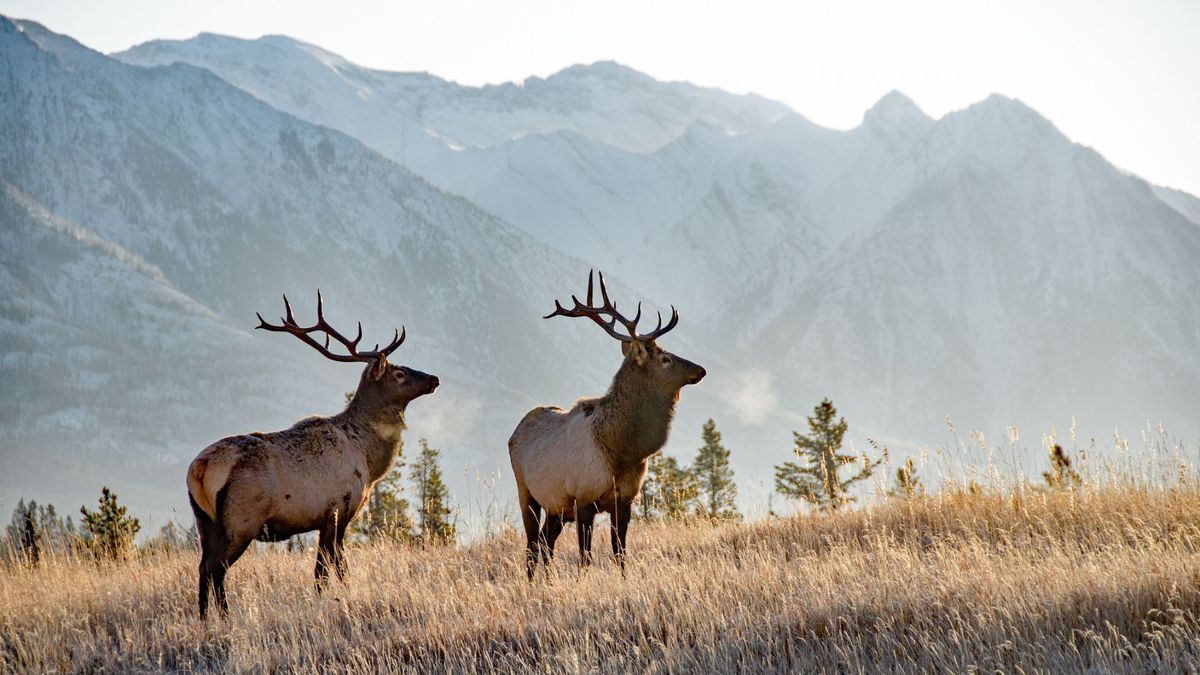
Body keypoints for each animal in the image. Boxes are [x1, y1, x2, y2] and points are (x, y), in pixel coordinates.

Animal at [190, 291, 441, 619]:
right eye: (400, 373)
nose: (434, 379)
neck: (370, 461)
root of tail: (199, 469)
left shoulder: (327, 518)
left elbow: (325, 568)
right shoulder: (338, 510)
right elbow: (334, 568)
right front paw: (338, 598)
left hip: (204, 522)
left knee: (202, 567)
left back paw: (205, 618)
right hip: (241, 521)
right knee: (216, 568)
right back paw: (225, 617)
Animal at [504, 269, 700, 578]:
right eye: (665, 359)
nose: (701, 369)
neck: (622, 452)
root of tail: (515, 431)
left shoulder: (625, 501)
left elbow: (620, 554)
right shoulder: (584, 498)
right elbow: (585, 557)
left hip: (557, 507)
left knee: (546, 543)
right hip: (527, 492)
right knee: (532, 546)